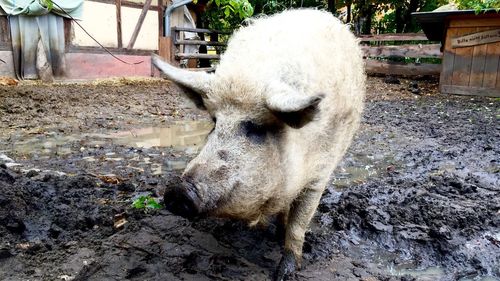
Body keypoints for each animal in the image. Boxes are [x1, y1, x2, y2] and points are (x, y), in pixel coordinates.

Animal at [150, 8, 366, 280]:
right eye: (214, 122)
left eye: (255, 128)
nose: (178, 190)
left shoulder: (320, 174)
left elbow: (299, 224)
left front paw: (283, 273)